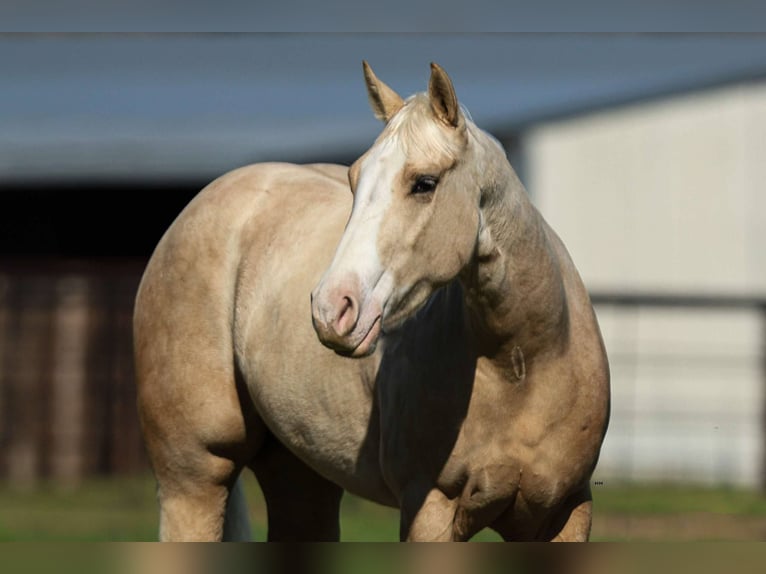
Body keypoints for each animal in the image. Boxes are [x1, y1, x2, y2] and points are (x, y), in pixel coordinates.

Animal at [133, 62, 610, 541]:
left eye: (424, 183)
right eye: (353, 179)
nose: (331, 309)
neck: (522, 364)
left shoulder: (566, 513)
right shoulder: (429, 510)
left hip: (299, 476)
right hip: (194, 479)